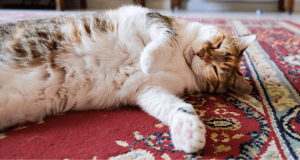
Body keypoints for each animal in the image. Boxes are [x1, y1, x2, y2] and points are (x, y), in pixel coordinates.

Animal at [0, 5, 255, 154]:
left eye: (215, 70)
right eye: (218, 44)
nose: (202, 53)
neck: (181, 61)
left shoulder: (148, 89)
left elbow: (176, 107)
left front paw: (190, 132)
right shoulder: (147, 15)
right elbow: (168, 37)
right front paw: (149, 58)